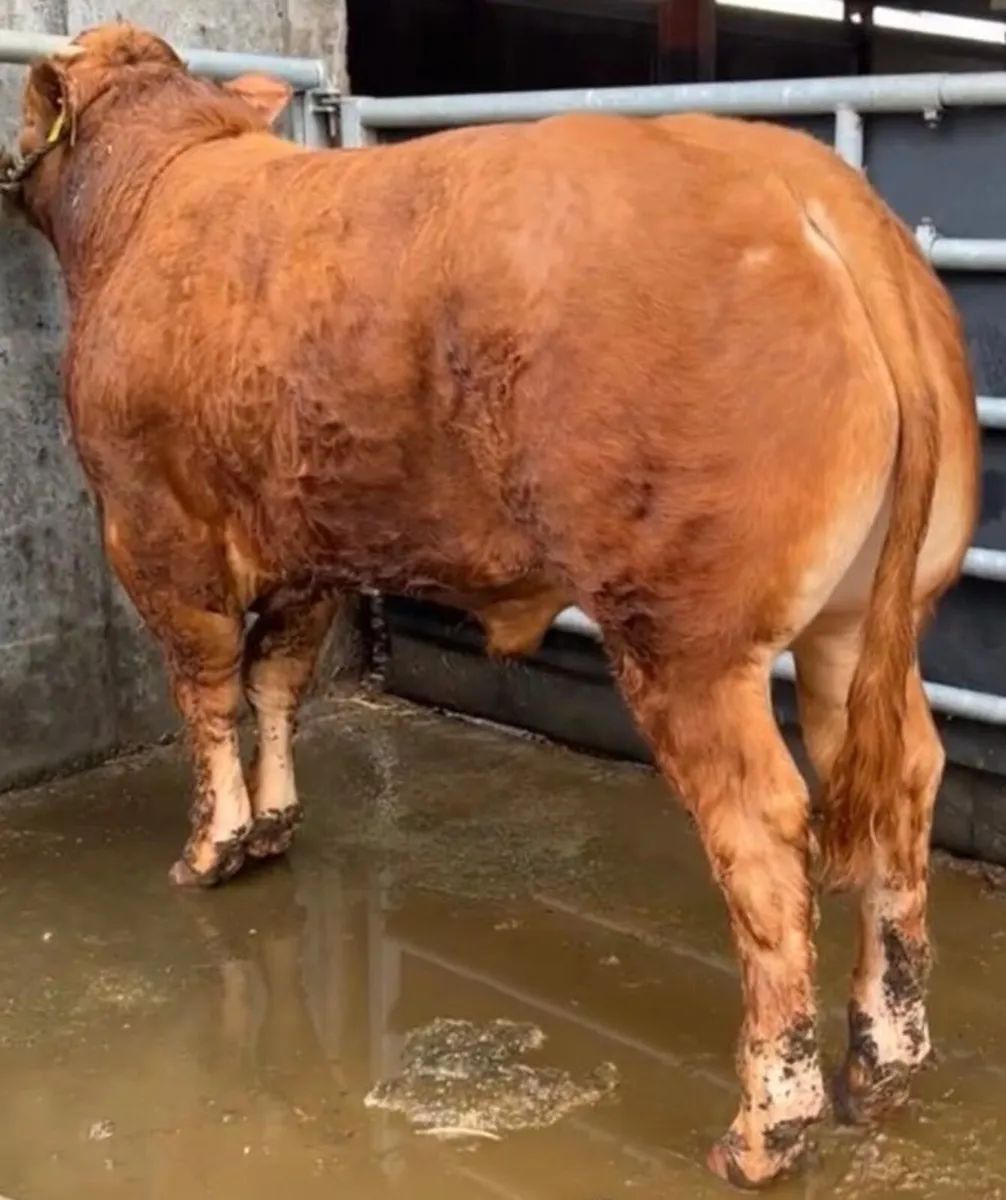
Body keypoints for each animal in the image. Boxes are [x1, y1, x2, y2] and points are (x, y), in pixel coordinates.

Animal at [0, 21, 981, 1188]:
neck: (151, 193)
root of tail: (805, 183)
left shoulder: (153, 529)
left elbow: (206, 695)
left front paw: (212, 849)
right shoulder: (307, 545)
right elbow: (277, 682)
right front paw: (275, 825)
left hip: (687, 638)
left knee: (764, 830)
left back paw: (764, 1128)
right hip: (863, 618)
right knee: (899, 785)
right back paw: (884, 1057)